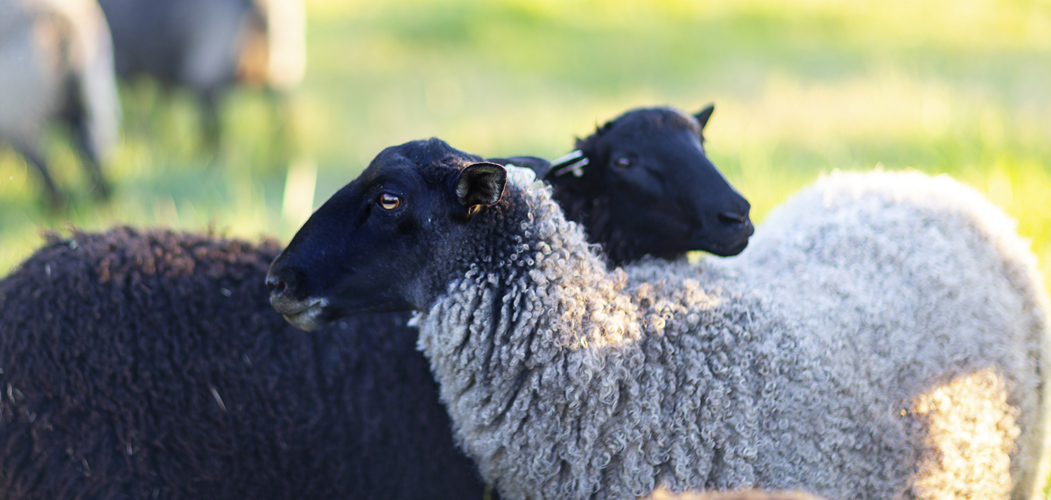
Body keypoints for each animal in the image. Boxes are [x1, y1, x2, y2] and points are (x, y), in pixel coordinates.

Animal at [0, 0, 120, 206]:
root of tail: (63, 18)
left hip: (18, 106)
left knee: (40, 161)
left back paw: (55, 204)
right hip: (92, 91)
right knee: (89, 145)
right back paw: (101, 197)